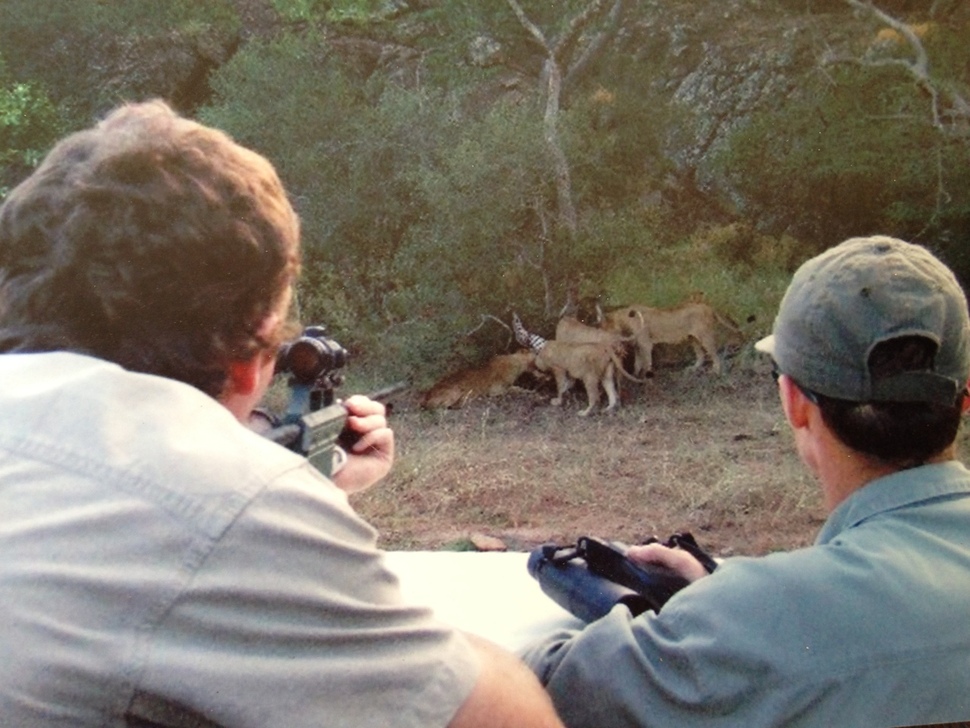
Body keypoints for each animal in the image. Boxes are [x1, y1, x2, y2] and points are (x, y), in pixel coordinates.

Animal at [600, 302, 744, 378]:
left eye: (605, 327)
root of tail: (708, 306)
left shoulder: (645, 343)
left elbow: (646, 361)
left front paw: (647, 375)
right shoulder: (637, 345)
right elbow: (637, 363)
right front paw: (636, 375)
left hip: (705, 336)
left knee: (714, 355)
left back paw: (715, 371)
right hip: (693, 338)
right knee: (701, 356)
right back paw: (692, 369)